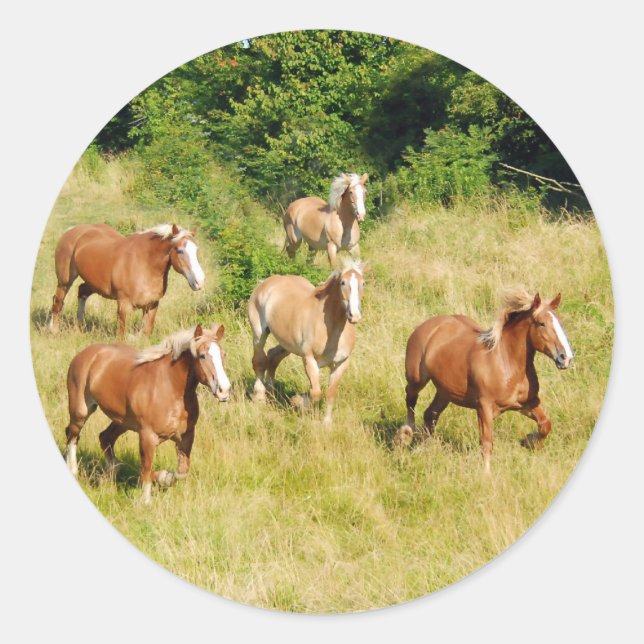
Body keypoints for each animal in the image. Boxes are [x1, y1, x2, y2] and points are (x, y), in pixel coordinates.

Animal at [49, 223, 205, 338]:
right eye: (179, 250)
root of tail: (72, 230)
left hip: (94, 284)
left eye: (196, 250)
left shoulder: (152, 305)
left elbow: (146, 332)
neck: (144, 264)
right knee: (58, 301)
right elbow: (122, 335)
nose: (200, 282)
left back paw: (80, 326)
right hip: (64, 281)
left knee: (82, 291)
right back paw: (53, 330)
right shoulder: (123, 306)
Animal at [64, 323, 230, 504]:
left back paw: (110, 474)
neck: (170, 389)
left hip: (122, 422)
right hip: (81, 411)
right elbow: (147, 468)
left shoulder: (186, 436)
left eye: (223, 354)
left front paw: (163, 478)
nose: (224, 391)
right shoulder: (147, 436)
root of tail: (85, 354)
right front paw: (145, 500)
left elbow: (181, 471)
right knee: (73, 435)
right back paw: (73, 471)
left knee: (105, 437)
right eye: (202, 356)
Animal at [247, 260, 366, 426]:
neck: (331, 330)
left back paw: (271, 391)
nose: (354, 315)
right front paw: (297, 401)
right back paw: (259, 396)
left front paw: (326, 423)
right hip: (259, 334)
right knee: (259, 361)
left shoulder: (341, 363)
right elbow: (315, 393)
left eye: (363, 283)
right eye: (343, 282)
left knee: (272, 356)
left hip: (287, 344)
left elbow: (330, 393)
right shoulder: (309, 360)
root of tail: (265, 283)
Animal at [395, 290, 573, 474]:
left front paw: (527, 442)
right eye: (541, 323)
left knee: (430, 414)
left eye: (560, 323)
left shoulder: (527, 403)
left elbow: (546, 424)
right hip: (417, 379)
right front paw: (486, 474)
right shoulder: (484, 407)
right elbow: (486, 442)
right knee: (410, 400)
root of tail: (427, 326)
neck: (505, 362)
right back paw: (405, 435)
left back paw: (427, 449)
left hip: (445, 392)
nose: (565, 358)